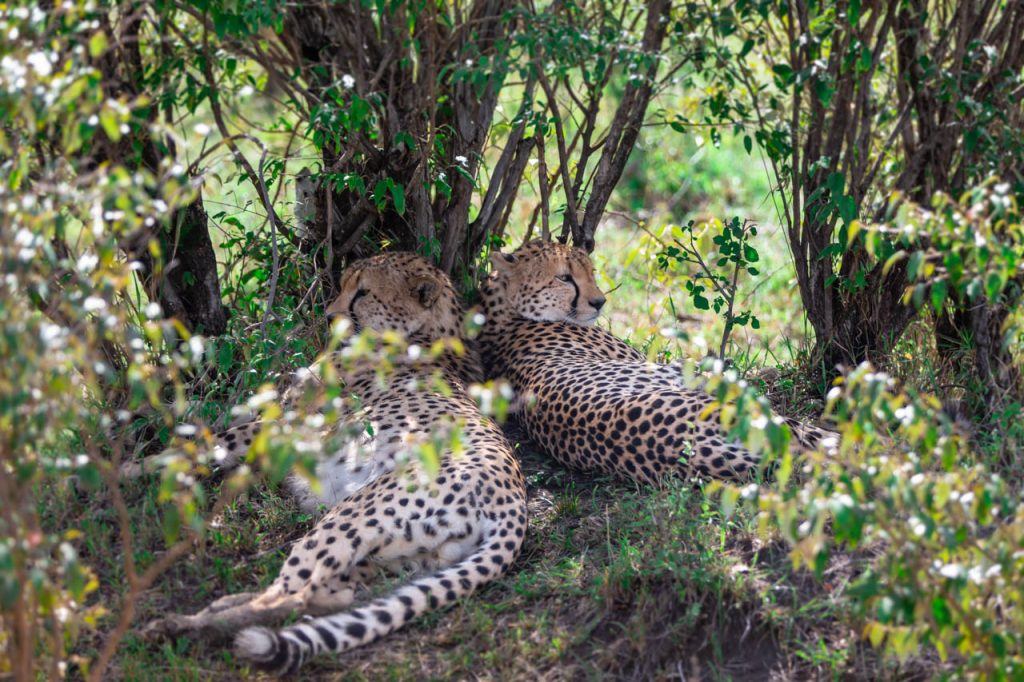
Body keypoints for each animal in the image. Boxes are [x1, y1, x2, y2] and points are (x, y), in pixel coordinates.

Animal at [144, 251, 528, 671]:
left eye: (363, 293)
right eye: (343, 284)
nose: (329, 316)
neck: (428, 337)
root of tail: (512, 501)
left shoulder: (291, 425)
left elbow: (210, 441)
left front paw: (134, 466)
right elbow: (214, 421)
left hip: (351, 516)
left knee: (291, 594)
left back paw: (193, 625)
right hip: (402, 556)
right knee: (328, 596)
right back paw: (216, 611)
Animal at [477, 238, 831, 483]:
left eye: (590, 272)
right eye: (564, 278)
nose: (599, 302)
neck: (506, 314)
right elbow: (703, 367)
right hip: (756, 416)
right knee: (817, 438)